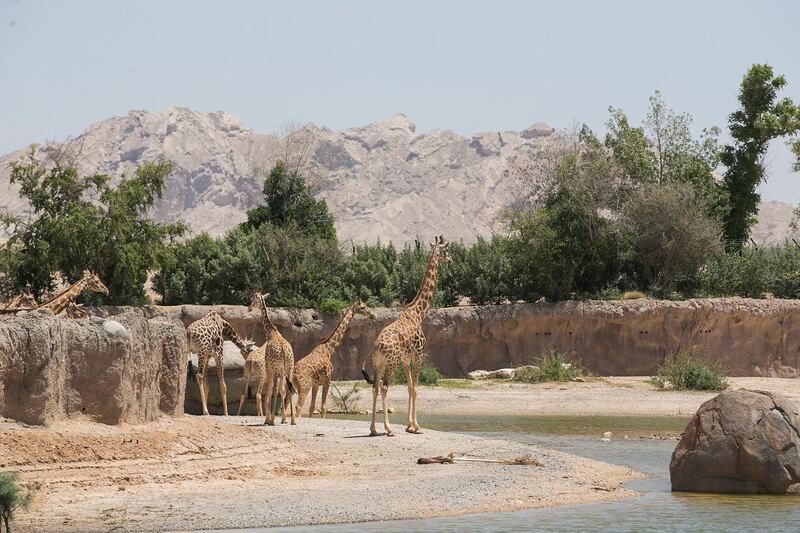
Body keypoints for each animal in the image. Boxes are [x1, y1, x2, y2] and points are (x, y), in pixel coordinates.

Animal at [247, 290, 296, 424]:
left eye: (253, 300)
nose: (249, 308)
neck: (271, 332)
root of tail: (284, 351)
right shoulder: (280, 372)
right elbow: (280, 390)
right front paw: (283, 418)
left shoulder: (269, 369)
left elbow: (269, 390)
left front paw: (268, 419)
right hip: (289, 368)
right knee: (288, 389)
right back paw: (292, 420)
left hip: (275, 369)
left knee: (274, 390)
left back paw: (273, 419)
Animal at [360, 235, 450, 434]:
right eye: (446, 251)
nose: (451, 260)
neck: (418, 313)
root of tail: (377, 345)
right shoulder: (418, 354)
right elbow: (415, 388)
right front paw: (417, 426)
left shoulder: (405, 359)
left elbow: (409, 387)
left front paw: (409, 425)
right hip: (390, 363)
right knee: (385, 387)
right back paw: (388, 429)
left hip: (378, 363)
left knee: (375, 387)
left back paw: (373, 429)